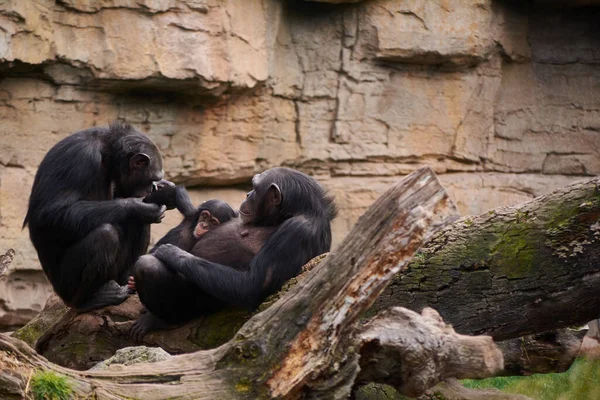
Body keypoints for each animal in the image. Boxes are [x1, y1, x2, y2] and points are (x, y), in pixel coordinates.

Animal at [23, 122, 169, 312]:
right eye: (153, 177)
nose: (153, 187)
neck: (107, 153)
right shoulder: (80, 158)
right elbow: (50, 215)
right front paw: (138, 207)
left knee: (138, 223)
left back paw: (130, 282)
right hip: (65, 289)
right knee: (105, 235)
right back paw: (91, 300)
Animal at [132, 166, 338, 338]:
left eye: (255, 188)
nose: (247, 194)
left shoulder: (297, 231)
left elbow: (252, 285)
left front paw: (170, 252)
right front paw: (168, 193)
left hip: (195, 305)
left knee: (148, 267)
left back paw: (159, 319)